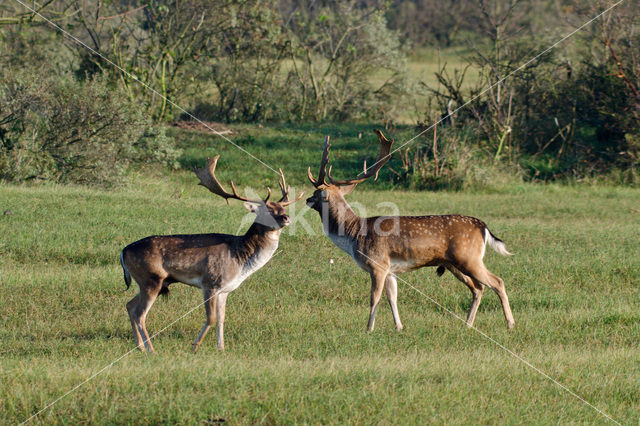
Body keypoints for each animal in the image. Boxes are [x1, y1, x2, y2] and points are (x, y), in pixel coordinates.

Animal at [120, 156, 304, 352]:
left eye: (282, 208)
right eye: (267, 210)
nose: (286, 218)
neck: (239, 260)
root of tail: (123, 251)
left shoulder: (225, 290)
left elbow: (222, 319)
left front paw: (221, 348)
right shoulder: (210, 282)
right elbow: (211, 318)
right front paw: (195, 346)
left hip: (149, 281)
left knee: (130, 306)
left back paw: (140, 347)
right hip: (151, 278)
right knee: (140, 314)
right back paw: (151, 350)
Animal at [304, 131, 516, 332]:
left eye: (317, 193)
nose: (307, 199)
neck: (354, 234)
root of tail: (483, 227)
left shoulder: (378, 264)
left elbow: (375, 298)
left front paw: (368, 329)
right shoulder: (390, 270)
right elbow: (392, 297)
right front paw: (399, 327)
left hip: (468, 257)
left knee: (497, 282)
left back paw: (510, 324)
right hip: (455, 263)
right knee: (478, 288)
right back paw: (467, 325)